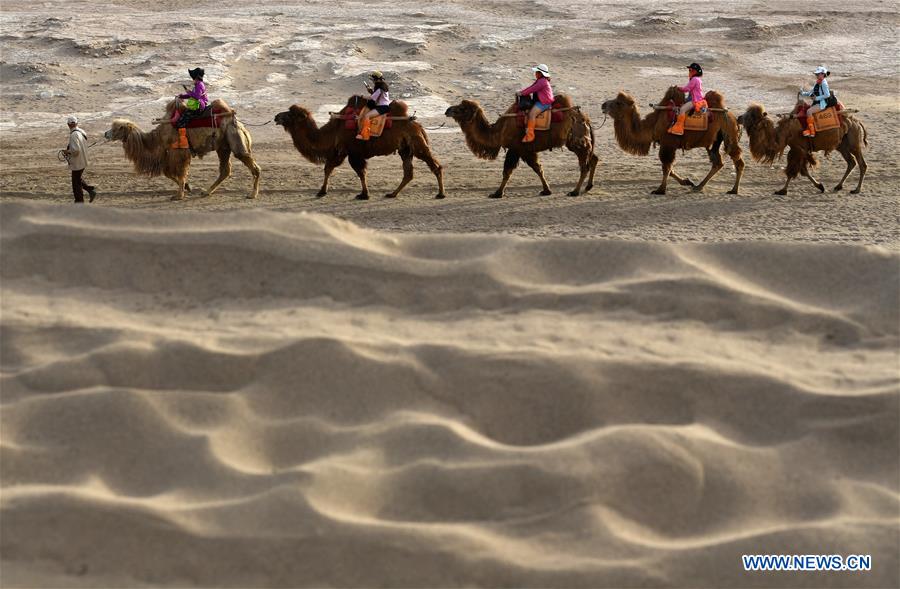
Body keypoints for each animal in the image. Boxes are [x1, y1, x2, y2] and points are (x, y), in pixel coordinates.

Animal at [106, 99, 262, 200]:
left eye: (117, 128)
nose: (106, 133)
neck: (158, 136)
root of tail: (237, 121)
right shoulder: (169, 153)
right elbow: (167, 172)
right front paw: (188, 187)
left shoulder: (179, 151)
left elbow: (179, 172)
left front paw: (178, 195)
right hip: (223, 146)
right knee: (225, 170)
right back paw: (206, 192)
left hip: (234, 138)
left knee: (249, 163)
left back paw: (252, 194)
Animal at [272, 95, 444, 199]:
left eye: (290, 114)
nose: (276, 116)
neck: (332, 131)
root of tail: (417, 124)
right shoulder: (341, 151)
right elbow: (330, 169)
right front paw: (322, 191)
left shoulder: (351, 152)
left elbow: (358, 172)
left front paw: (363, 194)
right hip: (405, 149)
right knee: (408, 173)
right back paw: (392, 194)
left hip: (416, 144)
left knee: (435, 166)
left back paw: (440, 194)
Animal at [442, 94, 596, 198]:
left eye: (462, 108)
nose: (448, 110)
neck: (498, 131)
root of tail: (585, 118)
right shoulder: (526, 150)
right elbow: (538, 168)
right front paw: (546, 190)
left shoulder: (516, 148)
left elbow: (508, 171)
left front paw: (497, 193)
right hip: (583, 141)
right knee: (593, 158)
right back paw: (588, 186)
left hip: (577, 142)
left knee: (585, 166)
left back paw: (574, 191)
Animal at [600, 86, 740, 195]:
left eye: (618, 103)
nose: (603, 105)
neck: (653, 124)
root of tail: (733, 117)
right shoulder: (667, 145)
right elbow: (670, 168)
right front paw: (687, 181)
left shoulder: (668, 144)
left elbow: (666, 167)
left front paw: (660, 190)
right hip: (715, 141)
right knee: (718, 162)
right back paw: (699, 186)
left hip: (729, 133)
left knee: (737, 160)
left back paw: (734, 190)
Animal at [736, 101, 868, 193]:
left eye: (751, 116)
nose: (738, 118)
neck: (784, 133)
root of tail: (857, 122)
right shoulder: (799, 149)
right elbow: (803, 171)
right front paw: (820, 186)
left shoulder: (798, 148)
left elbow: (793, 170)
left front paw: (782, 190)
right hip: (842, 145)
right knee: (851, 162)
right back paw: (838, 186)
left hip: (853, 142)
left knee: (862, 164)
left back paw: (856, 189)